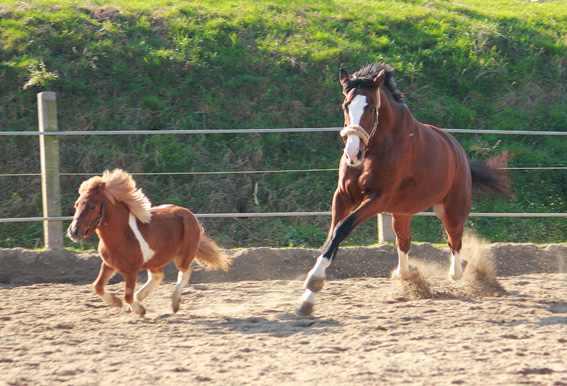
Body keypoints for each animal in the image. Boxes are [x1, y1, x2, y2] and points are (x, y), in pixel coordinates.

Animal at [67, 170, 232, 316]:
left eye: (92, 206)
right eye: (76, 204)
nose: (73, 231)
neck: (122, 236)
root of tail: (189, 214)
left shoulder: (131, 271)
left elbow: (127, 295)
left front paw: (139, 310)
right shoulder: (109, 265)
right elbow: (97, 286)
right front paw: (118, 303)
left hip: (183, 256)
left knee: (184, 273)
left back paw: (174, 304)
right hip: (155, 260)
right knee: (157, 276)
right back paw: (140, 299)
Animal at [298, 64, 510, 316]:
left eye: (370, 107)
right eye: (346, 105)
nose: (352, 154)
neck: (375, 150)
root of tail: (458, 152)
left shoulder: (377, 199)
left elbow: (342, 229)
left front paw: (314, 281)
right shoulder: (342, 197)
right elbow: (332, 236)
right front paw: (307, 299)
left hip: (451, 209)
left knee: (454, 242)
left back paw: (458, 271)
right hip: (402, 213)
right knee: (404, 242)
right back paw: (409, 275)